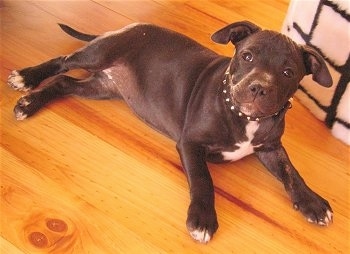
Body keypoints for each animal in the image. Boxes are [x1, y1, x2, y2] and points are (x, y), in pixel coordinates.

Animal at [6, 20, 332, 243]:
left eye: (288, 73)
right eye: (248, 56)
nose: (259, 87)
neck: (245, 117)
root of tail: (128, 27)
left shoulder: (270, 148)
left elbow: (291, 171)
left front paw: (312, 202)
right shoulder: (191, 144)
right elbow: (202, 180)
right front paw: (202, 219)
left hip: (100, 87)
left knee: (64, 83)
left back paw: (32, 101)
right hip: (98, 54)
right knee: (63, 62)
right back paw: (27, 79)